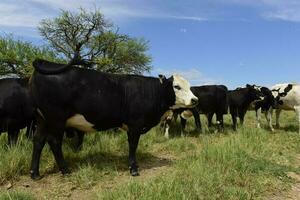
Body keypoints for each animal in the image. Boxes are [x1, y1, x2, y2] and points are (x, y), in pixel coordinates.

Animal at [29, 58, 198, 179]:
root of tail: (46, 63)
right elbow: (133, 146)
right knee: (54, 142)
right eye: (176, 86)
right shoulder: (135, 125)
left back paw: (35, 174)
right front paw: (133, 169)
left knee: (38, 141)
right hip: (56, 119)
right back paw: (65, 170)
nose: (195, 99)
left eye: (189, 86)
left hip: (42, 119)